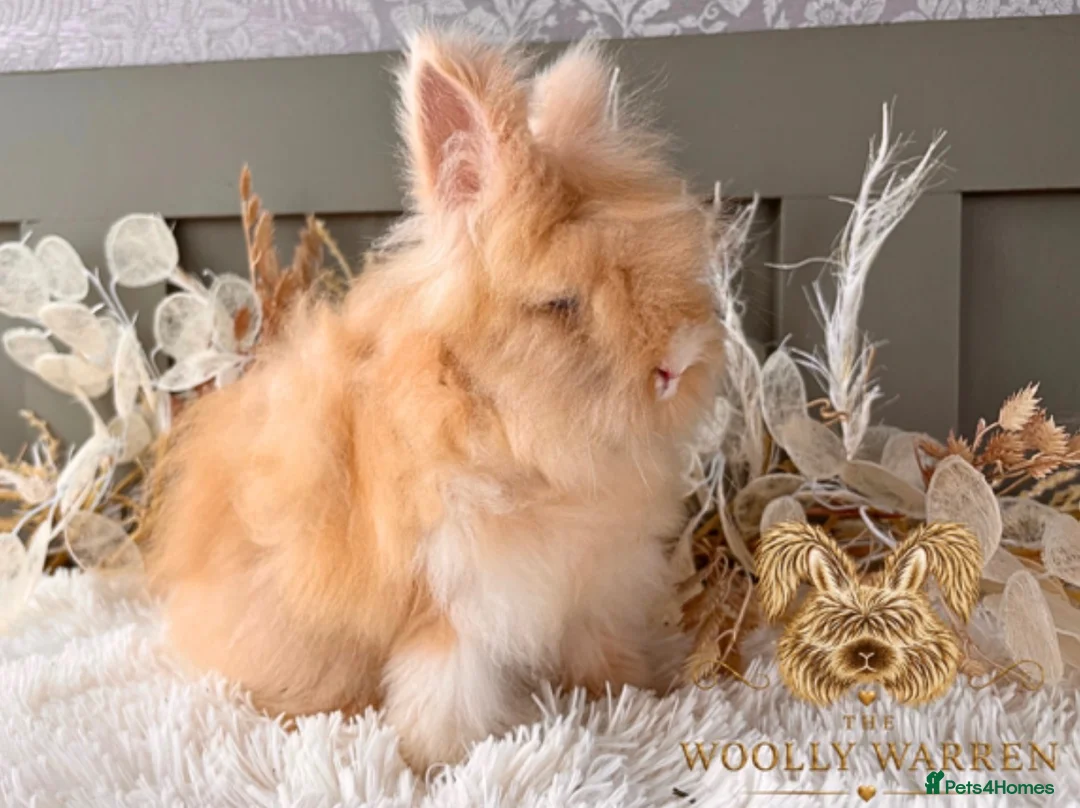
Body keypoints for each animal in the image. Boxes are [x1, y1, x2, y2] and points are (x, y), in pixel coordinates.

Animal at [145, 31, 725, 770]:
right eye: (559, 303)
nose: (677, 364)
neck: (510, 428)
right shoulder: (452, 598)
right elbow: (445, 683)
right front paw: (447, 760)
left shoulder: (598, 584)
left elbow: (602, 647)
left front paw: (633, 692)